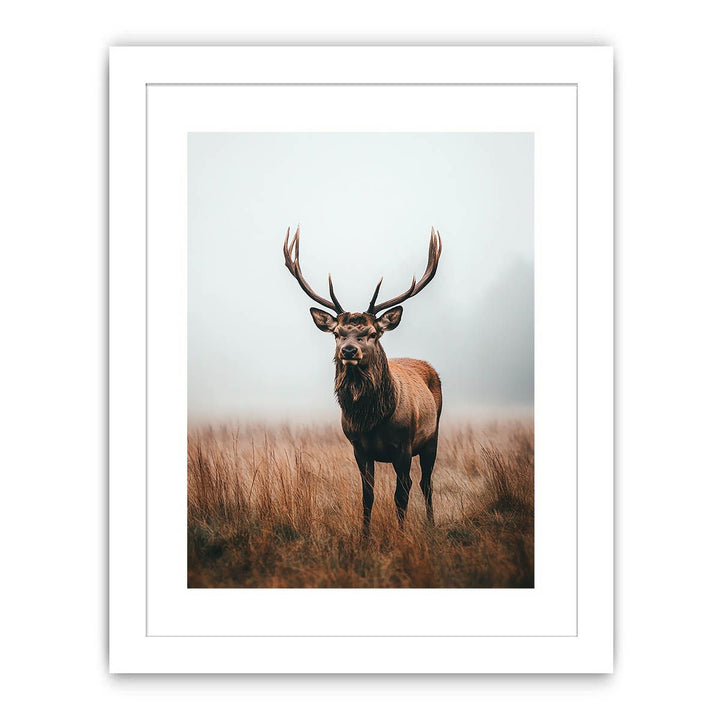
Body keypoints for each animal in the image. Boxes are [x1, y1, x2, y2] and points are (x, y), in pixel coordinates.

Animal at [283, 226, 443, 535]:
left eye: (371, 333)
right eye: (337, 333)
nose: (348, 350)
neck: (372, 420)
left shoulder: (403, 447)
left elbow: (401, 493)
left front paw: (401, 535)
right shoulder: (358, 447)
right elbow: (367, 494)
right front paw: (364, 536)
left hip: (433, 436)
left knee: (426, 483)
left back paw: (431, 523)